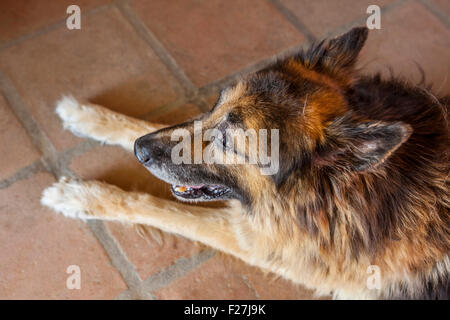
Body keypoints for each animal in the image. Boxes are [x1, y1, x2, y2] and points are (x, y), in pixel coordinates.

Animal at [40, 27, 448, 300]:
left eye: (228, 143)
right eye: (214, 104)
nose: (140, 152)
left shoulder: (256, 240)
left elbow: (159, 208)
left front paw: (82, 197)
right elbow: (144, 125)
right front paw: (87, 116)